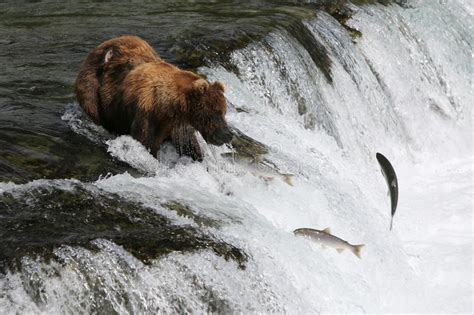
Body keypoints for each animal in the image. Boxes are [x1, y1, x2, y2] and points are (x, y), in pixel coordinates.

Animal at [74, 35, 233, 162]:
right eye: (216, 113)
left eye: (224, 112)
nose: (228, 135)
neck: (170, 108)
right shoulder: (149, 116)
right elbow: (147, 143)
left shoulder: (179, 126)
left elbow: (190, 146)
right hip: (92, 86)